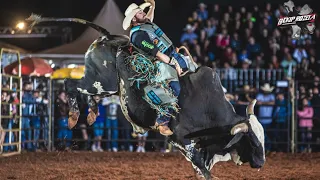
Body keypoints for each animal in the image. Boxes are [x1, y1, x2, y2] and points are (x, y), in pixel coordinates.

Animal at [27, 15, 266, 179]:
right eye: (253, 142)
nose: (262, 162)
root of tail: (107, 36)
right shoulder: (181, 139)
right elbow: (201, 165)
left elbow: (202, 166)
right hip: (99, 83)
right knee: (70, 85)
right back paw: (74, 117)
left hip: (104, 88)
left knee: (85, 94)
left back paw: (92, 114)